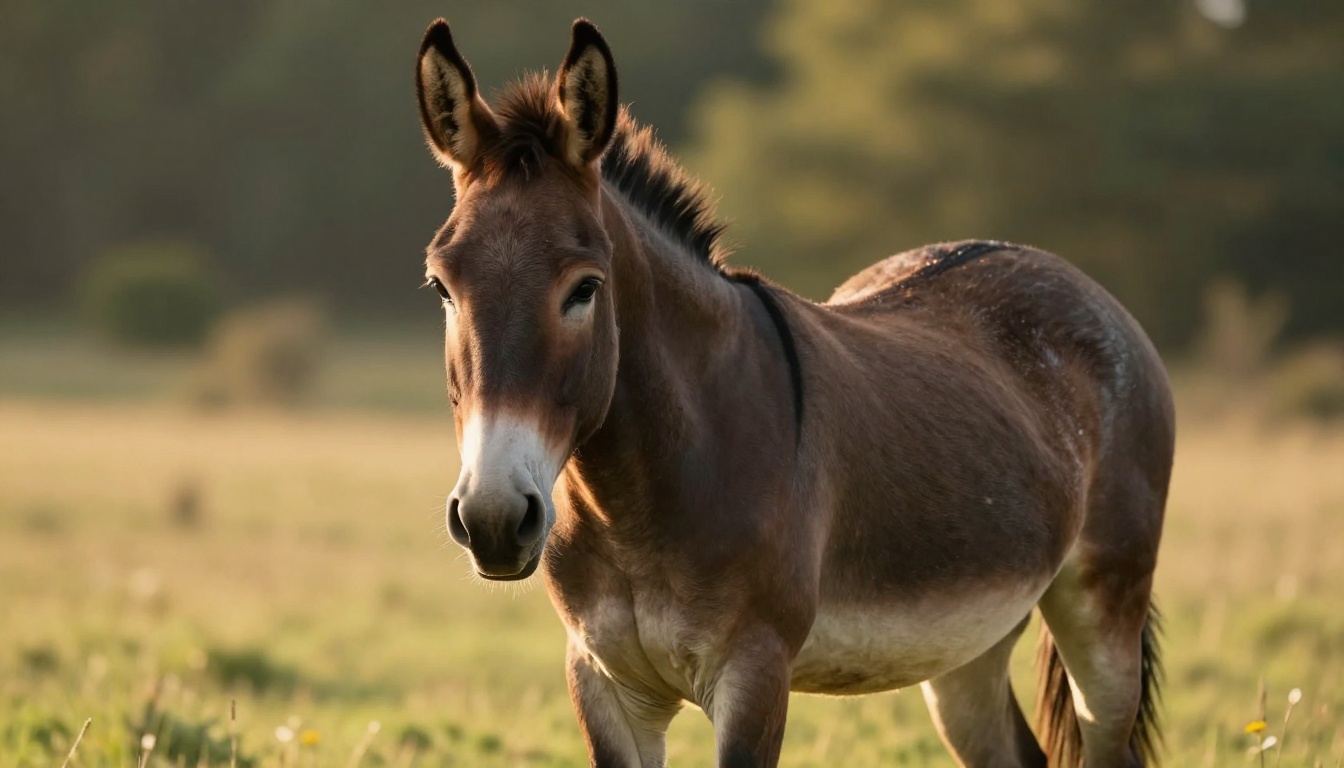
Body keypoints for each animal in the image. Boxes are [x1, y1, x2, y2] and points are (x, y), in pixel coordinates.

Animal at [413, 17, 1173, 768]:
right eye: (440, 286)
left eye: (585, 288)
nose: (491, 519)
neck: (638, 502)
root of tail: (1051, 265)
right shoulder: (603, 681)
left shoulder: (754, 673)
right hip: (972, 640)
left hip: (1104, 608)